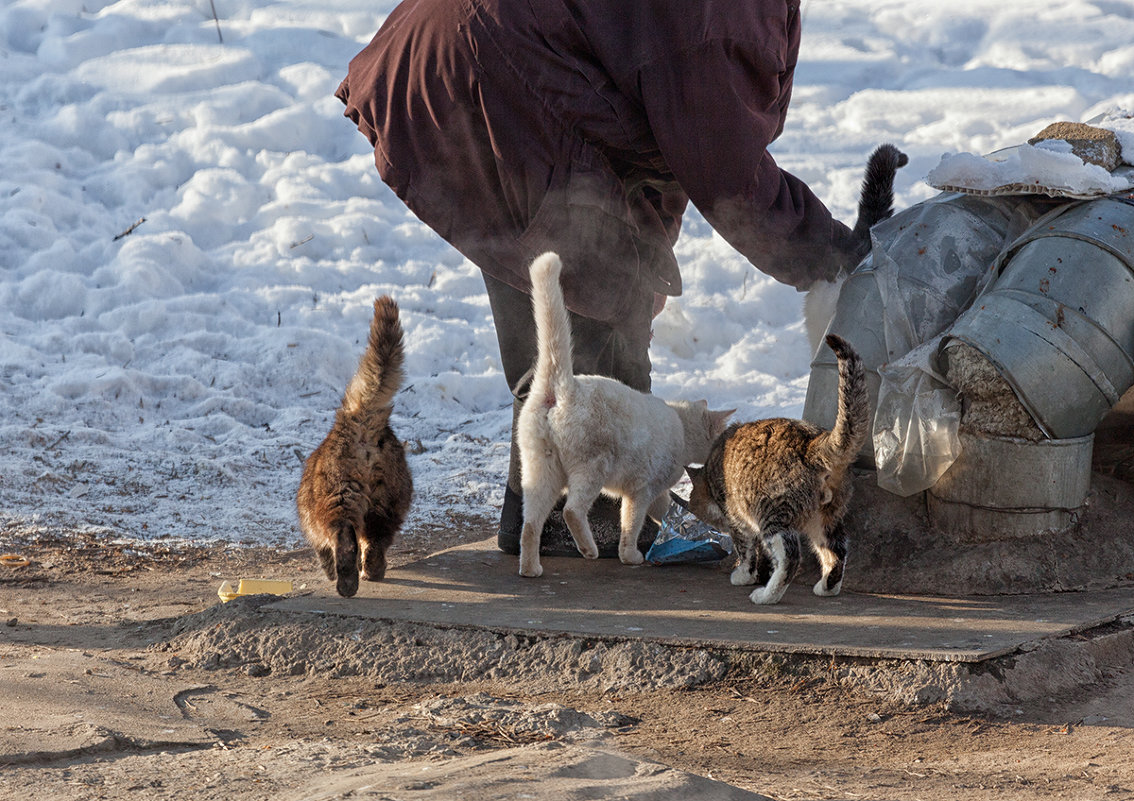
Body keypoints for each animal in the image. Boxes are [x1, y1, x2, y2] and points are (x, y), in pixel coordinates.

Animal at [297, 297, 412, 594]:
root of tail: (359, 422)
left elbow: (323, 550)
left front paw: (329, 570)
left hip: (337, 492)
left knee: (343, 534)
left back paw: (348, 576)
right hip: (388, 495)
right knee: (377, 538)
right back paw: (370, 568)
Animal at [517, 250, 734, 574]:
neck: (682, 428)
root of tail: (563, 386)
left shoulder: (655, 492)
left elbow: (663, 511)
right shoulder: (640, 490)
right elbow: (631, 524)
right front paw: (630, 555)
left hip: (541, 473)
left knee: (530, 525)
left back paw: (531, 569)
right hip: (591, 469)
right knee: (571, 511)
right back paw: (589, 549)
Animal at [680, 333, 866, 603]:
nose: (715, 526)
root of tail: (811, 445)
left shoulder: (737, 518)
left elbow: (746, 550)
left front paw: (743, 575)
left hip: (773, 514)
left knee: (790, 557)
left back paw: (767, 595)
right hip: (825, 517)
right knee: (837, 550)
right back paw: (826, 588)